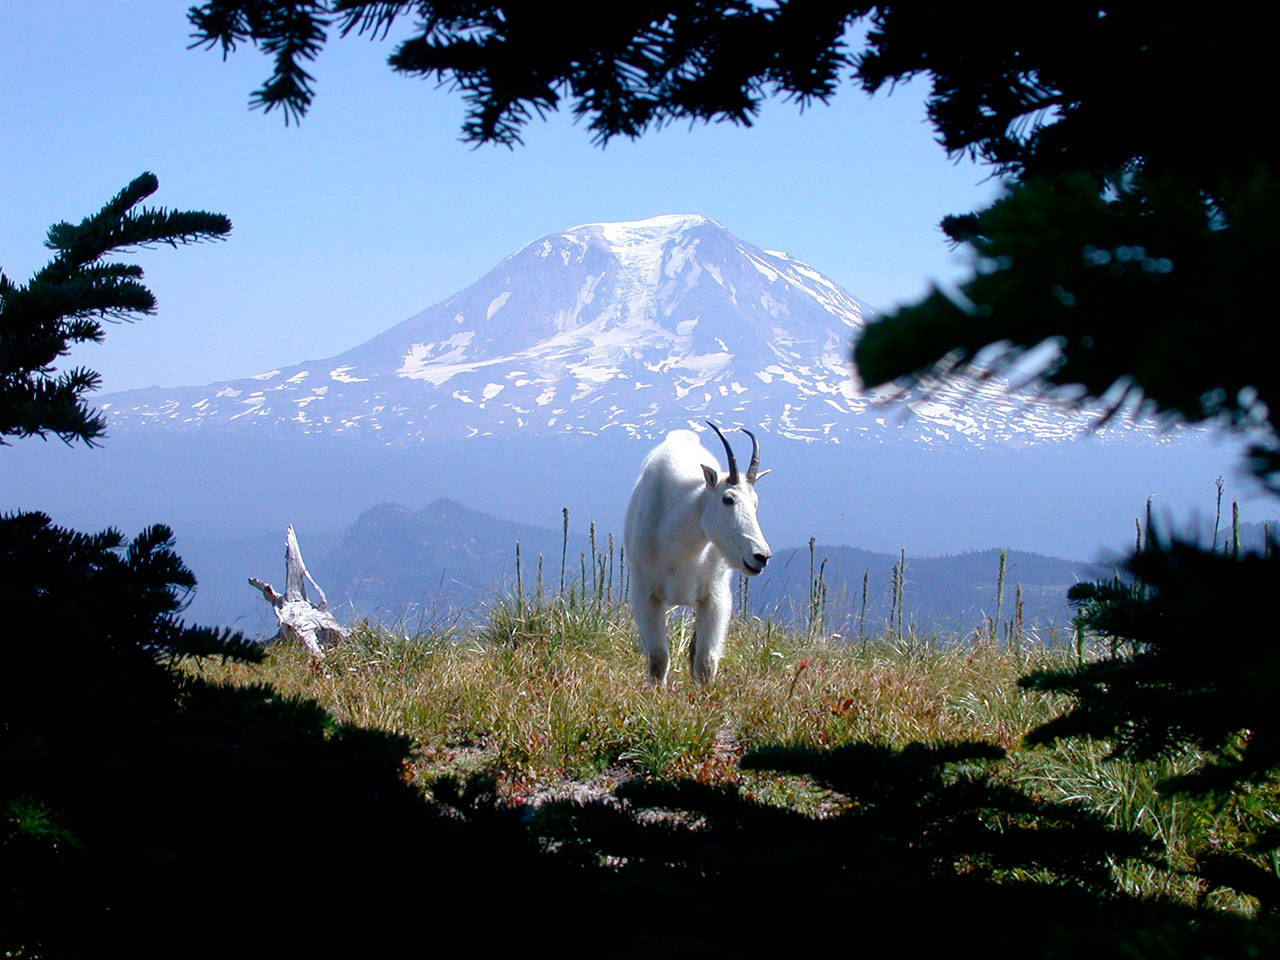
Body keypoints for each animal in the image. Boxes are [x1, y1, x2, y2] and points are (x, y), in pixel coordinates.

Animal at [624, 422, 772, 684]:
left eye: (755, 502)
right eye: (727, 499)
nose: (760, 556)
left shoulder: (713, 597)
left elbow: (705, 661)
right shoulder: (645, 593)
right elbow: (658, 658)